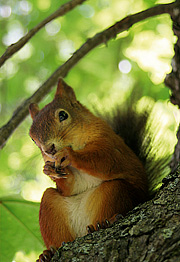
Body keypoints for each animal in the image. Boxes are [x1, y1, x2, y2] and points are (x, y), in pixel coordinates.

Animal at [28, 78, 169, 262]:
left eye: (63, 115)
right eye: (32, 137)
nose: (48, 149)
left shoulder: (110, 144)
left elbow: (103, 160)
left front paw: (69, 154)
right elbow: (69, 187)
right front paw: (49, 170)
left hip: (114, 191)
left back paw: (103, 223)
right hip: (50, 207)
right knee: (54, 211)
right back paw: (49, 252)